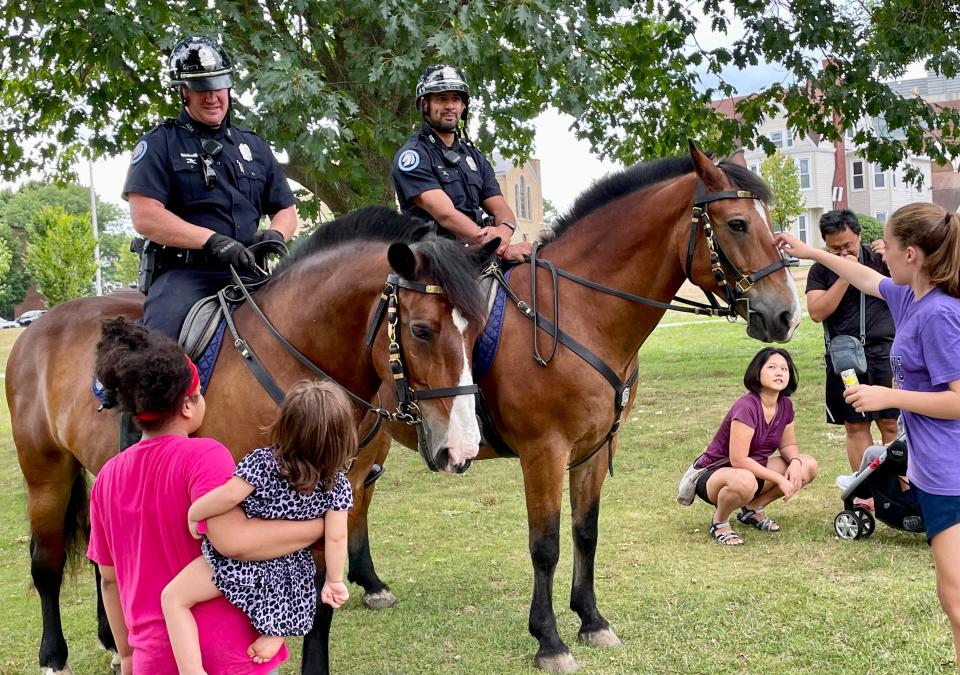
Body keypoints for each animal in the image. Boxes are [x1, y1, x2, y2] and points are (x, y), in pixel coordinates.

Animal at [322, 145, 804, 672]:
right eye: (738, 223)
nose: (785, 314)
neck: (578, 311)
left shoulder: (594, 449)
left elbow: (585, 532)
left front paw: (591, 620)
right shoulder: (544, 452)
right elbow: (545, 545)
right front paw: (549, 639)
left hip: (376, 439)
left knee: (359, 499)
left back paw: (371, 583)